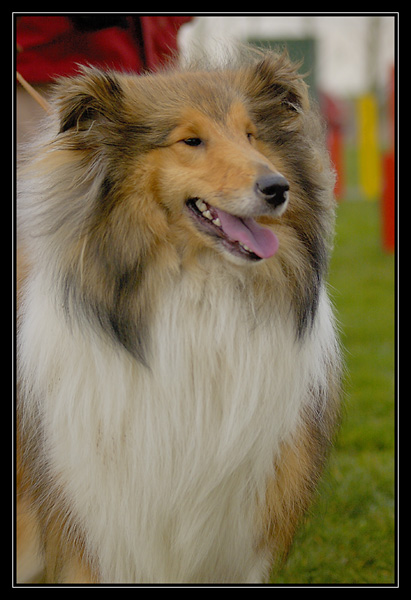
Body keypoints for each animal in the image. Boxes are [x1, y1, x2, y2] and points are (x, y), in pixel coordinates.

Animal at [16, 49, 342, 584]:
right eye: (191, 140)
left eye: (251, 134)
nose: (278, 188)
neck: (198, 298)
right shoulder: (94, 530)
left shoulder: (237, 535)